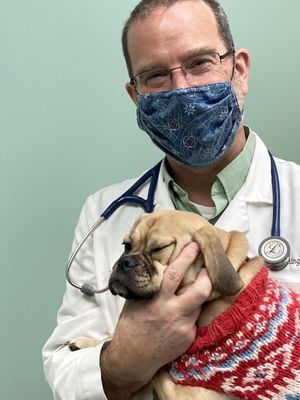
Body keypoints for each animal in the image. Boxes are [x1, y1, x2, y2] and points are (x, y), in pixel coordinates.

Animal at [68, 211, 300, 398]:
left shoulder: (191, 393)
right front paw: (87, 342)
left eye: (159, 248)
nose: (124, 263)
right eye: (126, 245)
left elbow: (157, 367)